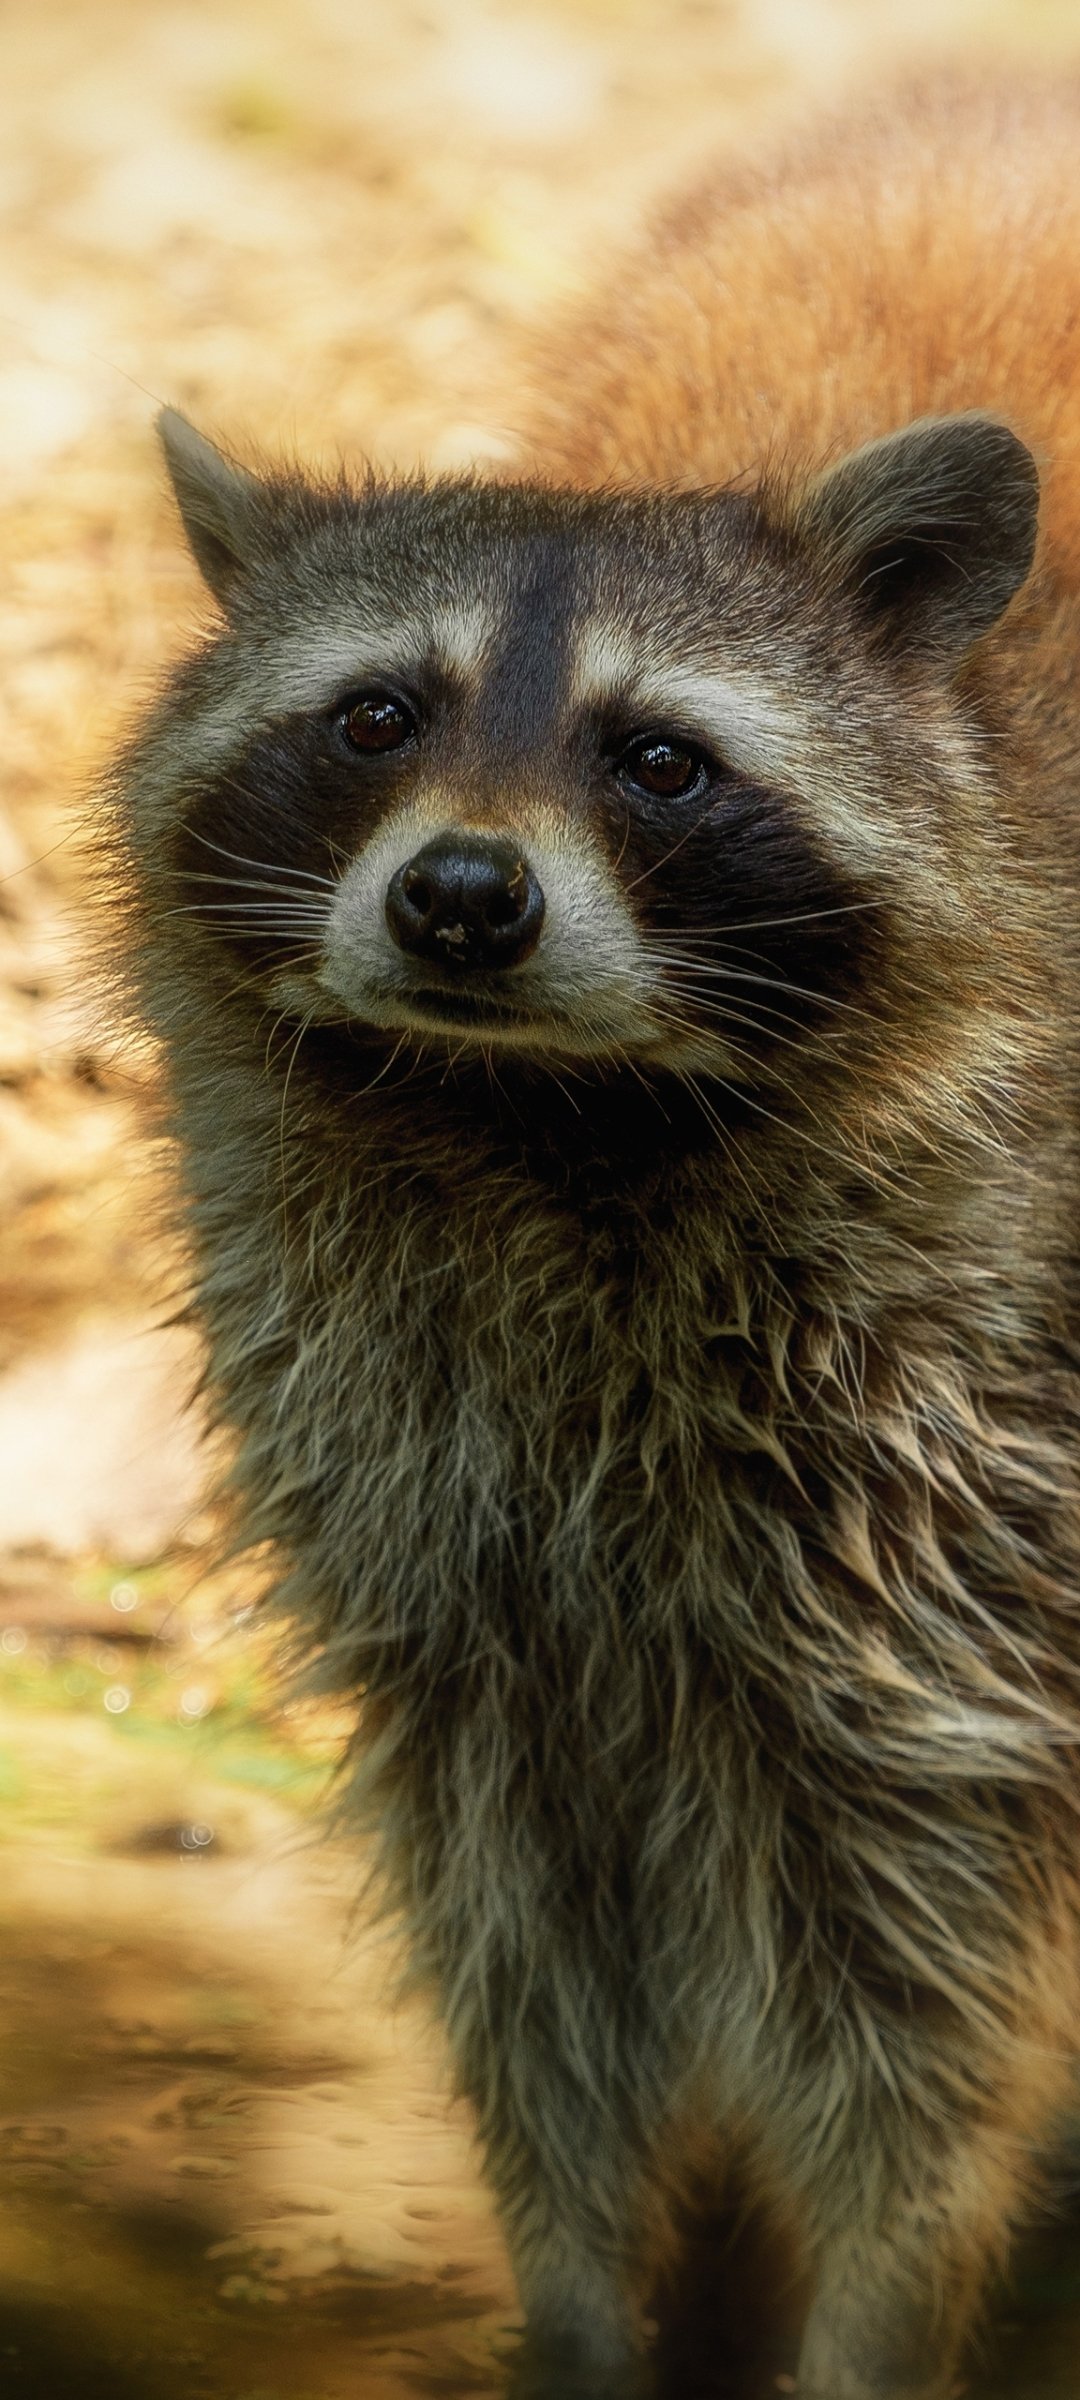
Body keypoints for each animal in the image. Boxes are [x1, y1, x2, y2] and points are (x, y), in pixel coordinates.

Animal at [104, 76, 1080, 2400]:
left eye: (660, 761)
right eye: (376, 715)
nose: (464, 900)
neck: (547, 1128)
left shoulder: (965, 1476)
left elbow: (922, 1980)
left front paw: (881, 2313)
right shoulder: (449, 1543)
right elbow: (533, 1965)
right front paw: (582, 2291)